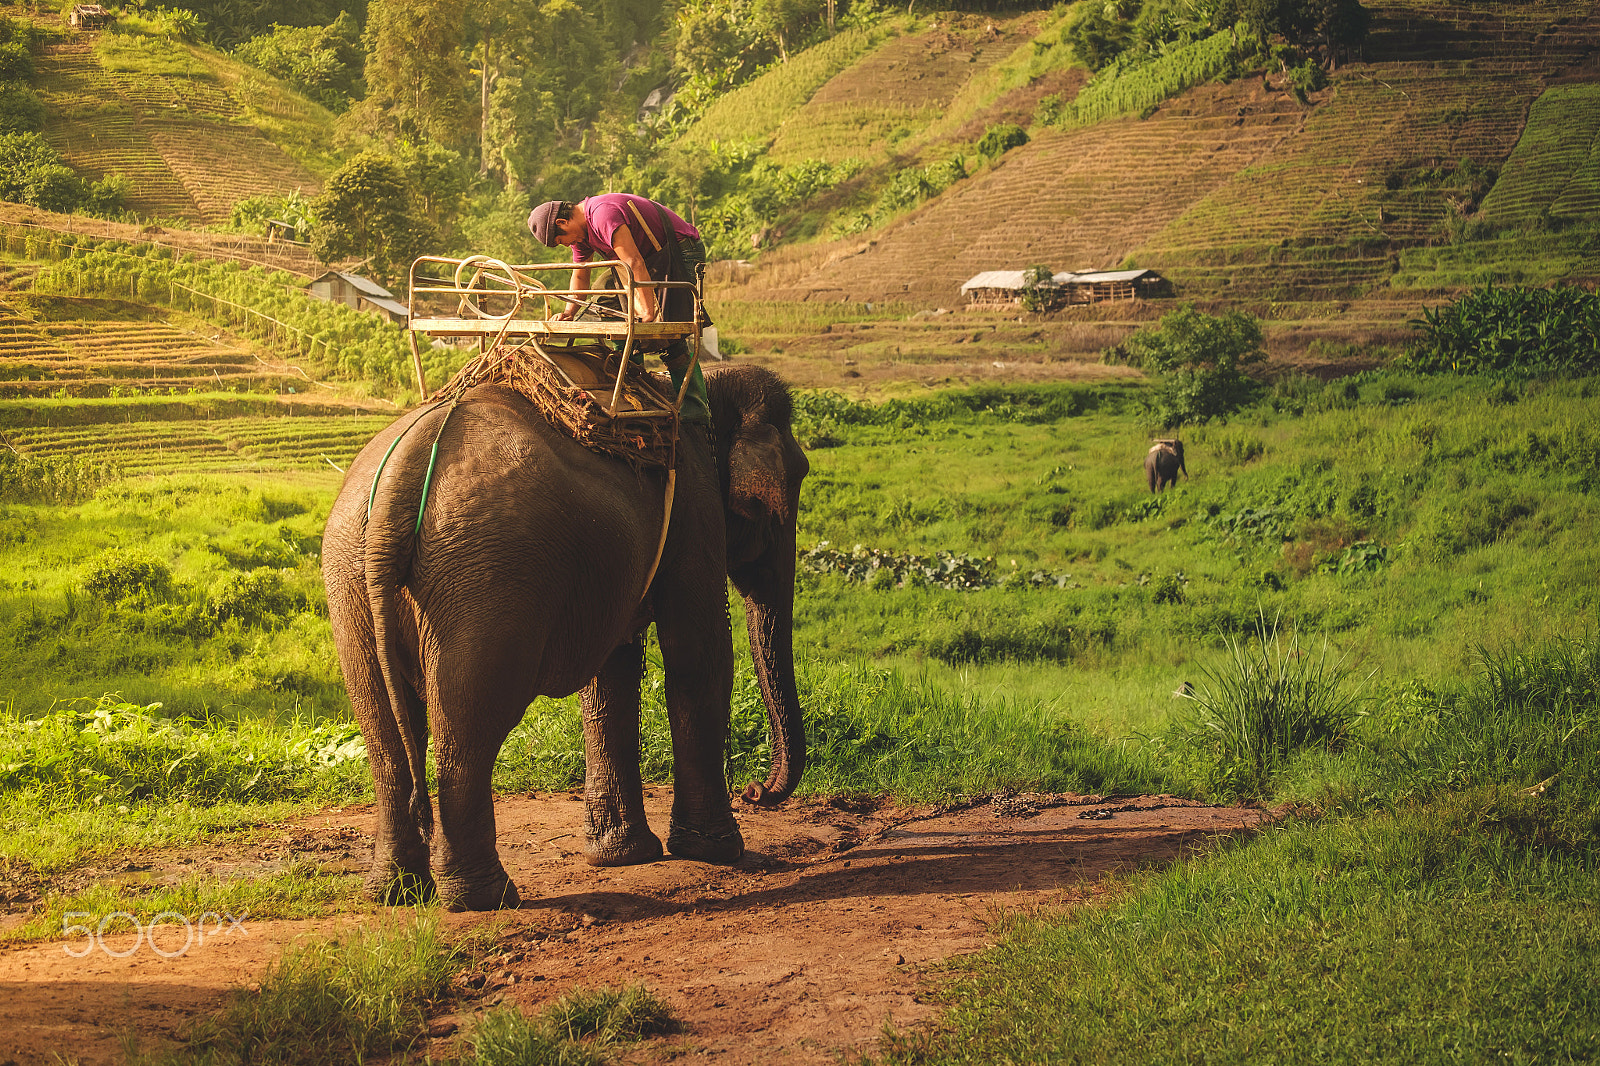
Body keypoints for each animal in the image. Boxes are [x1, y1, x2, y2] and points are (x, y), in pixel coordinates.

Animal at [321, 363, 812, 902]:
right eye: (795, 482)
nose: (756, 791)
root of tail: (399, 480)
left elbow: (612, 671)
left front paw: (622, 856)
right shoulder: (695, 504)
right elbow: (698, 655)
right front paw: (717, 852)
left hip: (351, 578)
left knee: (382, 732)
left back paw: (397, 892)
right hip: (484, 584)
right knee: (467, 729)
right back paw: (486, 898)